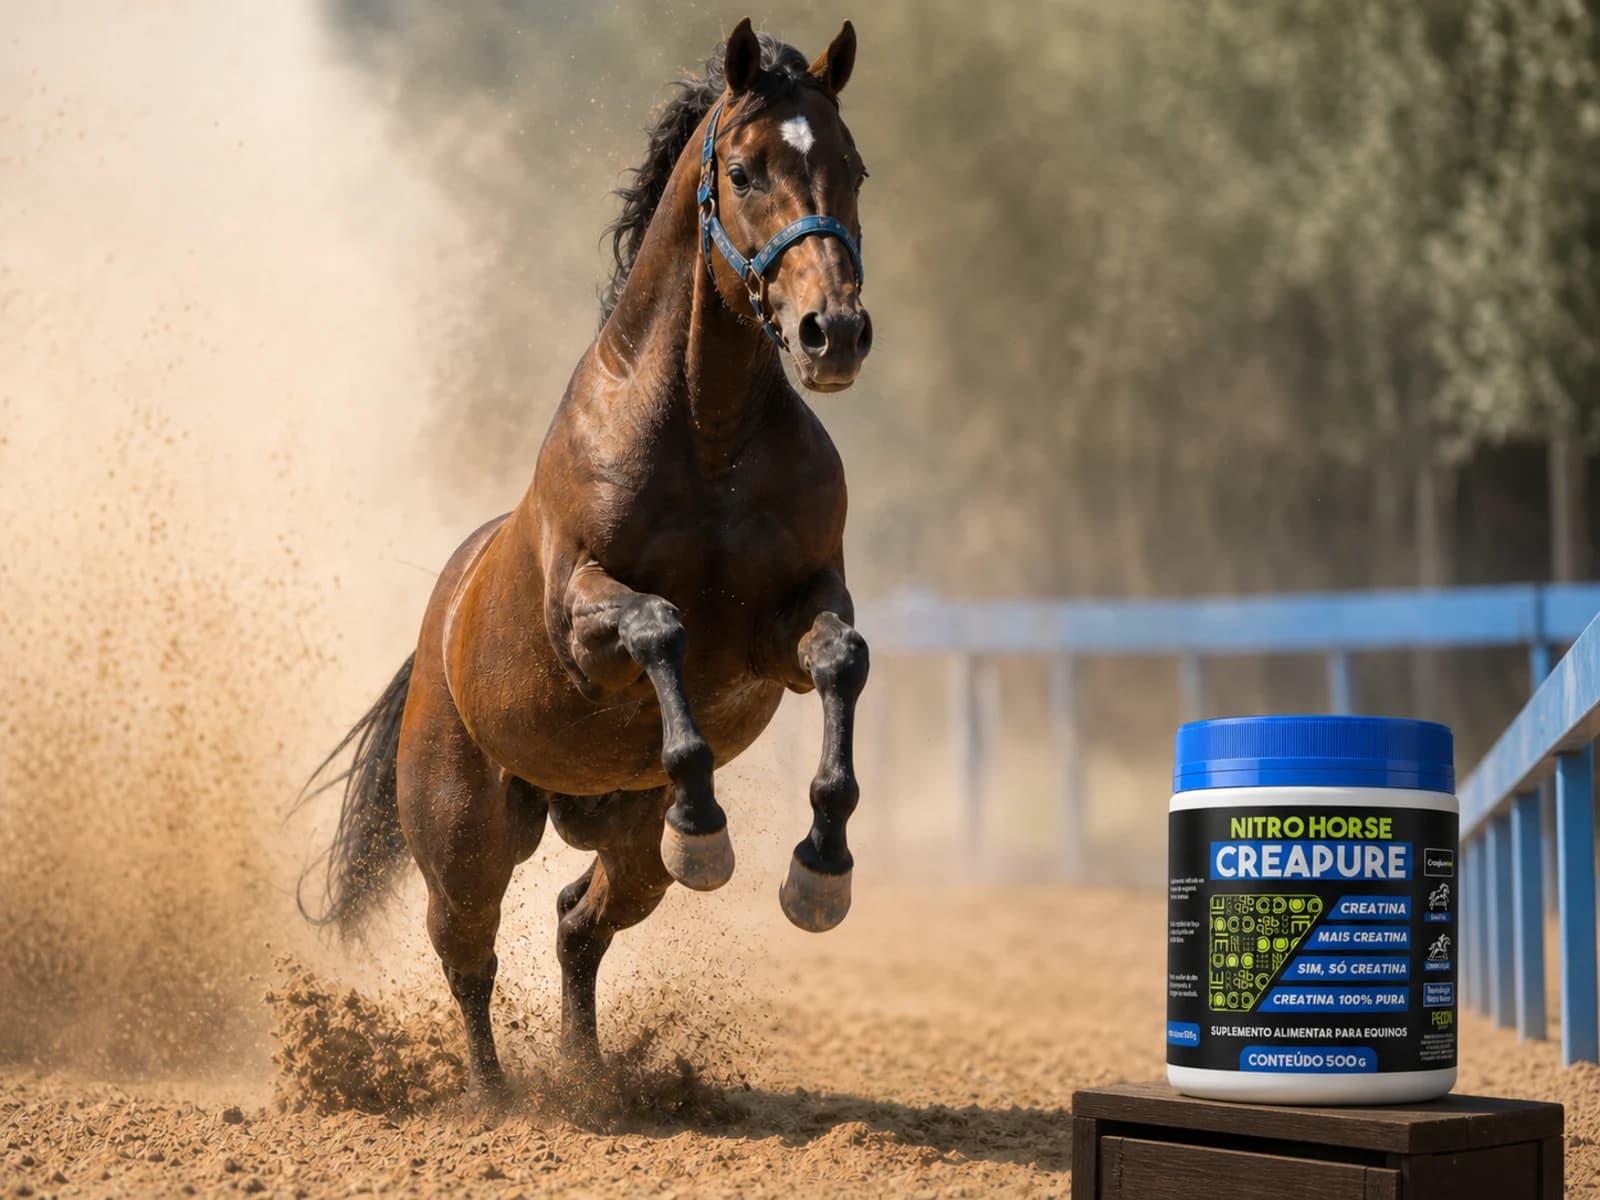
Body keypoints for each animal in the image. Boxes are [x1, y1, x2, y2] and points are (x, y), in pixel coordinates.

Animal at [301, 18, 873, 1098]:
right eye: (744, 170)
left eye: (853, 168)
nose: (835, 332)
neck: (706, 435)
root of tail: (437, 630)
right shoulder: (584, 624)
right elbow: (659, 625)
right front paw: (706, 819)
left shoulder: (791, 617)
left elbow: (838, 662)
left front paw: (819, 867)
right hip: (465, 836)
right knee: (467, 954)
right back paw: (495, 1098)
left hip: (625, 847)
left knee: (577, 923)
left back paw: (588, 1081)